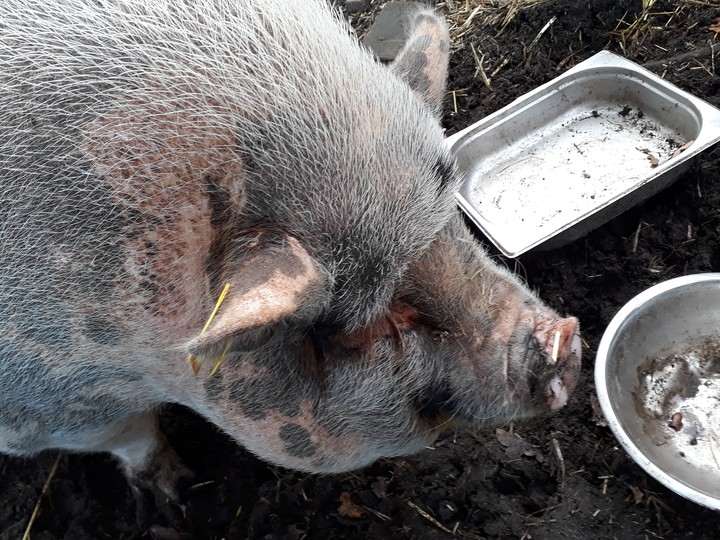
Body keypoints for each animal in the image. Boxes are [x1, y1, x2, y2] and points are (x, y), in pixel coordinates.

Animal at [0, 0, 581, 509]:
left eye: (453, 224)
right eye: (367, 323)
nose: (564, 336)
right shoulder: (57, 409)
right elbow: (133, 439)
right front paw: (178, 497)